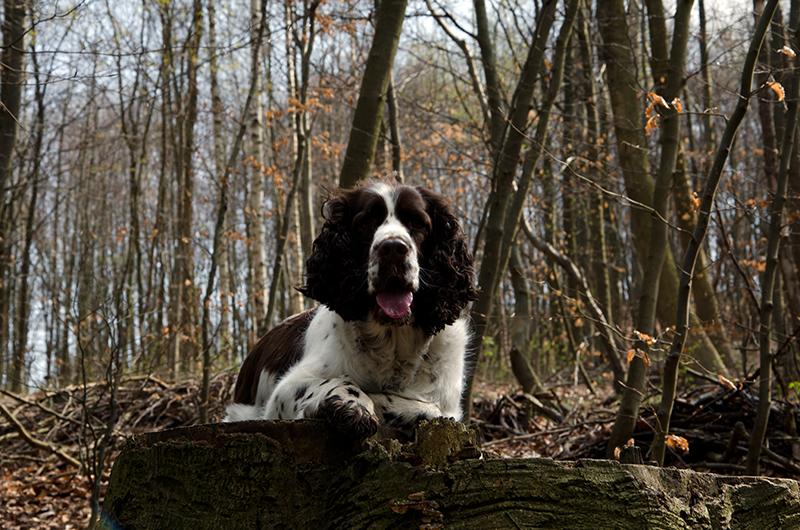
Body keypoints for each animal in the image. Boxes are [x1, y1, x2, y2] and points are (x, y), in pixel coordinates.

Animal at [222, 179, 478, 436]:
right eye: (366, 223)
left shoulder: (448, 406)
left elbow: (432, 410)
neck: (392, 341)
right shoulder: (283, 392)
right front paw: (353, 404)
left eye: (417, 223)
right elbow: (342, 380)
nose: (393, 249)